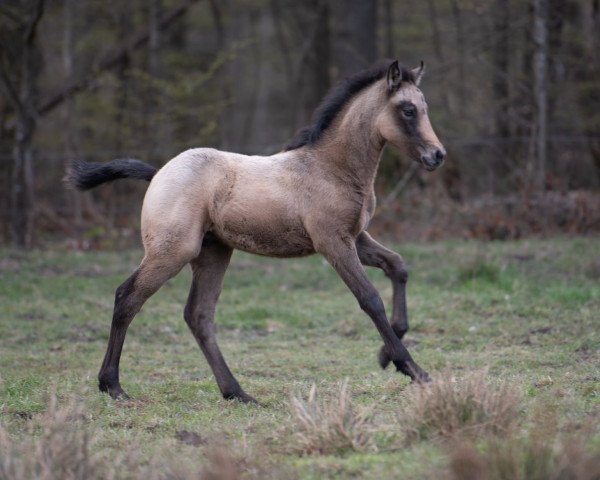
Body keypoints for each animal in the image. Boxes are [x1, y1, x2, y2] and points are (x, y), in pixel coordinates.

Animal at [69, 61, 446, 404]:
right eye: (408, 110)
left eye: (424, 106)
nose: (437, 155)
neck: (331, 168)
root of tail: (159, 172)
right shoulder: (333, 243)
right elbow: (370, 299)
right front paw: (414, 370)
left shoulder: (356, 238)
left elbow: (398, 266)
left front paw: (386, 355)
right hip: (172, 251)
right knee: (127, 297)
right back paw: (113, 387)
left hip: (213, 252)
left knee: (198, 315)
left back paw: (237, 393)